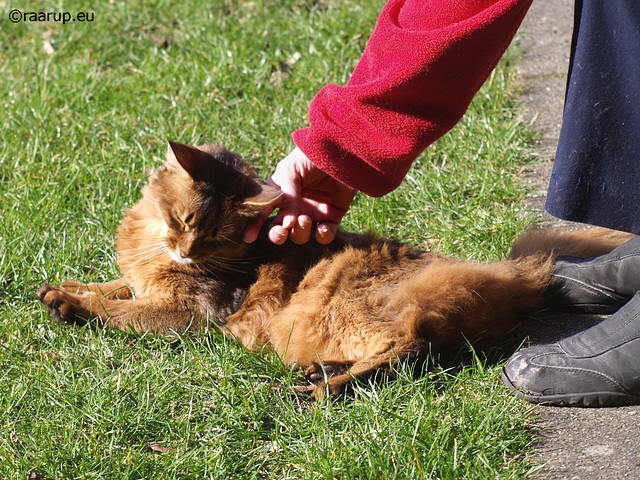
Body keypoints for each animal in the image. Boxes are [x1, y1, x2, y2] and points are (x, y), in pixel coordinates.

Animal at [36, 141, 632, 400]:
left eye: (214, 237)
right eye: (182, 219)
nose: (186, 252)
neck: (153, 242)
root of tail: (507, 279)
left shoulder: (195, 313)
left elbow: (121, 309)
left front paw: (70, 303)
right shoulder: (148, 275)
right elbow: (117, 285)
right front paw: (69, 286)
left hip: (344, 303)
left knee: (409, 350)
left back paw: (320, 390)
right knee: (416, 351)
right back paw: (320, 373)